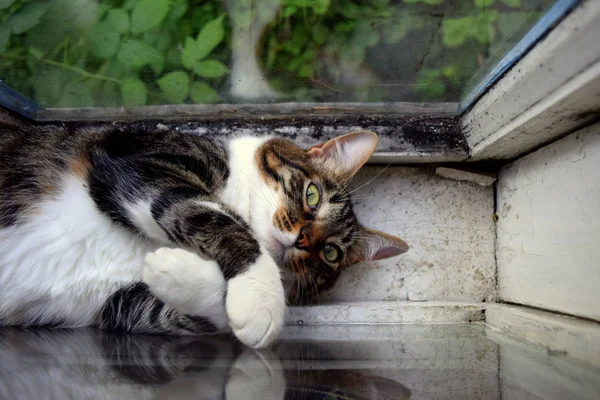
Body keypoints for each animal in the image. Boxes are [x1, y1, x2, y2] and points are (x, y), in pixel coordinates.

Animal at [0, 114, 408, 348]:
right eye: (312, 194)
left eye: (331, 253)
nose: (304, 240)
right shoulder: (139, 162)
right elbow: (216, 217)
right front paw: (261, 300)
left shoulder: (113, 307)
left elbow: (201, 315)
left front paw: (168, 270)